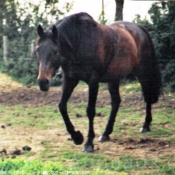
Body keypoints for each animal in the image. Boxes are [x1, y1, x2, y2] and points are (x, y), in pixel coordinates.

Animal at [35, 11, 161, 152]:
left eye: (55, 51)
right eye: (37, 50)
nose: (43, 82)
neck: (80, 42)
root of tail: (139, 29)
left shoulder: (93, 81)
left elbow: (90, 111)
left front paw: (88, 143)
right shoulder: (70, 80)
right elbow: (62, 106)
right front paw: (77, 137)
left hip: (142, 72)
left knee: (147, 96)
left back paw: (145, 125)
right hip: (113, 79)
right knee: (116, 102)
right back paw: (106, 133)